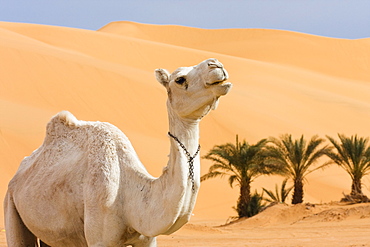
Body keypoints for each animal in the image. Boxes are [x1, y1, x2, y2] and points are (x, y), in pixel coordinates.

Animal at [4, 58, 233, 247]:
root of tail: (16, 177)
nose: (216, 64)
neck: (131, 192)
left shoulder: (148, 239)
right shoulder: (99, 239)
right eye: (180, 79)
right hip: (11, 206)